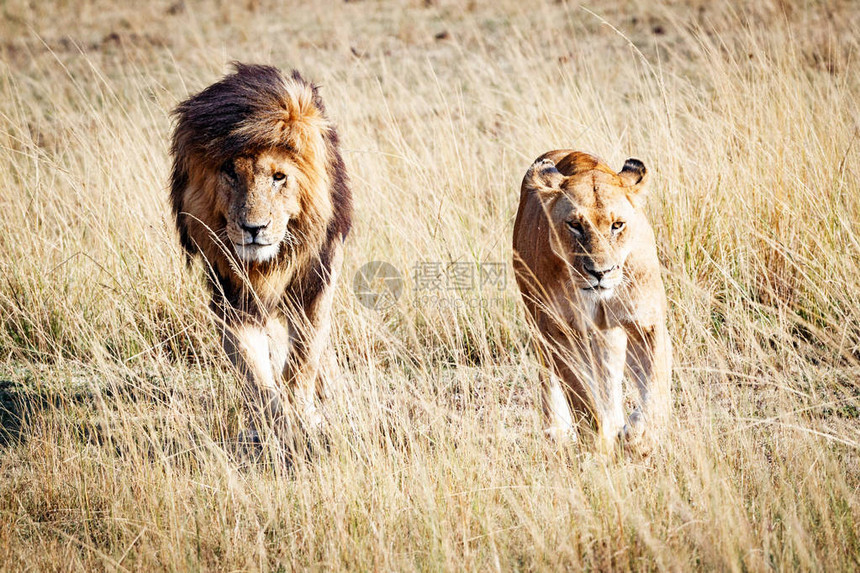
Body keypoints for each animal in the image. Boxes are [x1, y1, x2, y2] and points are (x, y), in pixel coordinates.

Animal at [170, 63, 352, 438]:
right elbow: (254, 373)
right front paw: (277, 426)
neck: (268, 264)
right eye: (230, 172)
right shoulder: (232, 299)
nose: (253, 229)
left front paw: (303, 418)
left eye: (279, 177)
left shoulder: (316, 285)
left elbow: (303, 358)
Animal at [512, 149, 668, 446]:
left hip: (607, 334)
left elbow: (655, 382)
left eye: (617, 225)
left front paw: (638, 438)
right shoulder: (557, 331)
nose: (600, 272)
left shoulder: (645, 323)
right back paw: (558, 431)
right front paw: (600, 436)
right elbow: (581, 394)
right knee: (550, 375)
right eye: (574, 225)